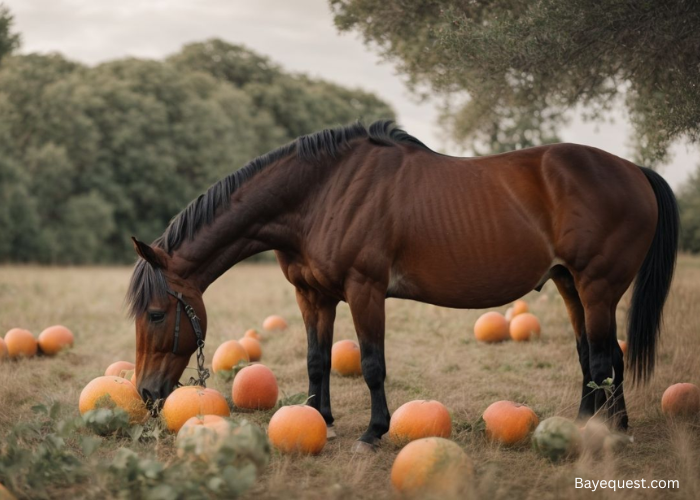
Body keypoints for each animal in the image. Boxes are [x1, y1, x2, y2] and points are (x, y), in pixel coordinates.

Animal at [126, 120, 678, 452]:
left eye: (155, 313)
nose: (147, 393)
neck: (321, 194)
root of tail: (634, 170)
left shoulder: (365, 290)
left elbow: (372, 364)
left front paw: (374, 432)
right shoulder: (314, 295)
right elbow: (317, 359)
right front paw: (320, 417)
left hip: (598, 286)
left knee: (605, 357)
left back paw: (606, 431)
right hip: (569, 285)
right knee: (596, 356)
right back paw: (596, 425)